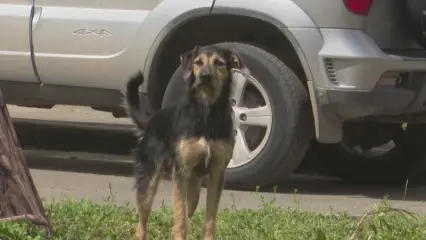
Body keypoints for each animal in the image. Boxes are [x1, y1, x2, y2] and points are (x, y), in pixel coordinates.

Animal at [123, 45, 250, 240]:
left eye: (219, 63)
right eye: (197, 62)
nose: (204, 76)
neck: (206, 112)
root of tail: (152, 120)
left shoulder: (217, 171)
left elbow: (209, 221)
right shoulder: (180, 171)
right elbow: (180, 221)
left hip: (193, 191)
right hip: (149, 181)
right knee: (142, 223)